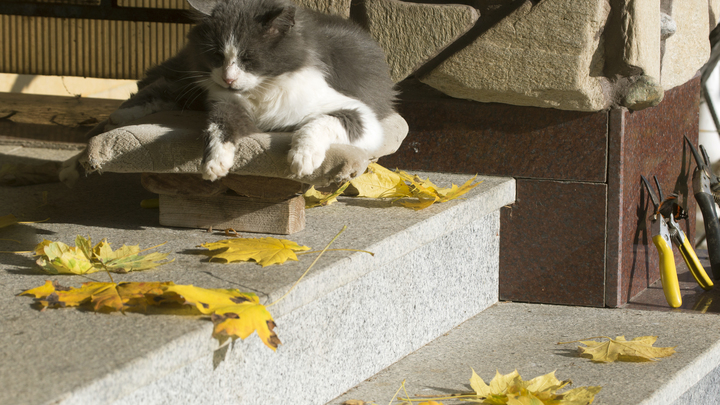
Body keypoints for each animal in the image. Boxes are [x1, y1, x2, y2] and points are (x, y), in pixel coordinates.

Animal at [109, 0, 396, 179]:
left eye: (248, 58)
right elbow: (218, 127)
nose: (228, 79)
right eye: (217, 56)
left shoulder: (360, 114)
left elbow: (317, 124)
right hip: (190, 79)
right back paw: (117, 118)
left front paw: (302, 159)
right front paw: (214, 163)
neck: (263, 91)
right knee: (160, 86)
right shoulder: (225, 103)